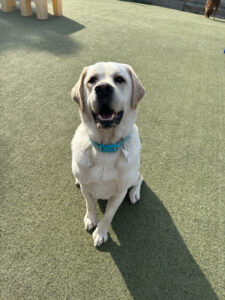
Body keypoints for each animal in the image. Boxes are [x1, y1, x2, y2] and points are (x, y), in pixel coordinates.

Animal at [71, 61, 145, 246]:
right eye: (92, 80)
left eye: (119, 79)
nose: (103, 89)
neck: (106, 147)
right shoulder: (87, 187)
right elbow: (90, 205)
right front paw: (91, 219)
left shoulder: (119, 193)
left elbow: (108, 216)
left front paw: (101, 233)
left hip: (134, 176)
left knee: (140, 178)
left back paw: (134, 193)